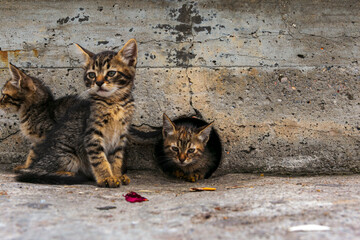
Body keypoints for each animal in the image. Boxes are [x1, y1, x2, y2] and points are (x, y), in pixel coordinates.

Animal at [15, 39, 138, 188]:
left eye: (111, 73)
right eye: (92, 75)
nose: (99, 83)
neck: (115, 102)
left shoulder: (121, 135)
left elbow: (117, 158)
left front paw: (117, 175)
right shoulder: (92, 134)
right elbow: (99, 159)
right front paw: (106, 177)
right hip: (67, 155)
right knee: (42, 170)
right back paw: (67, 174)